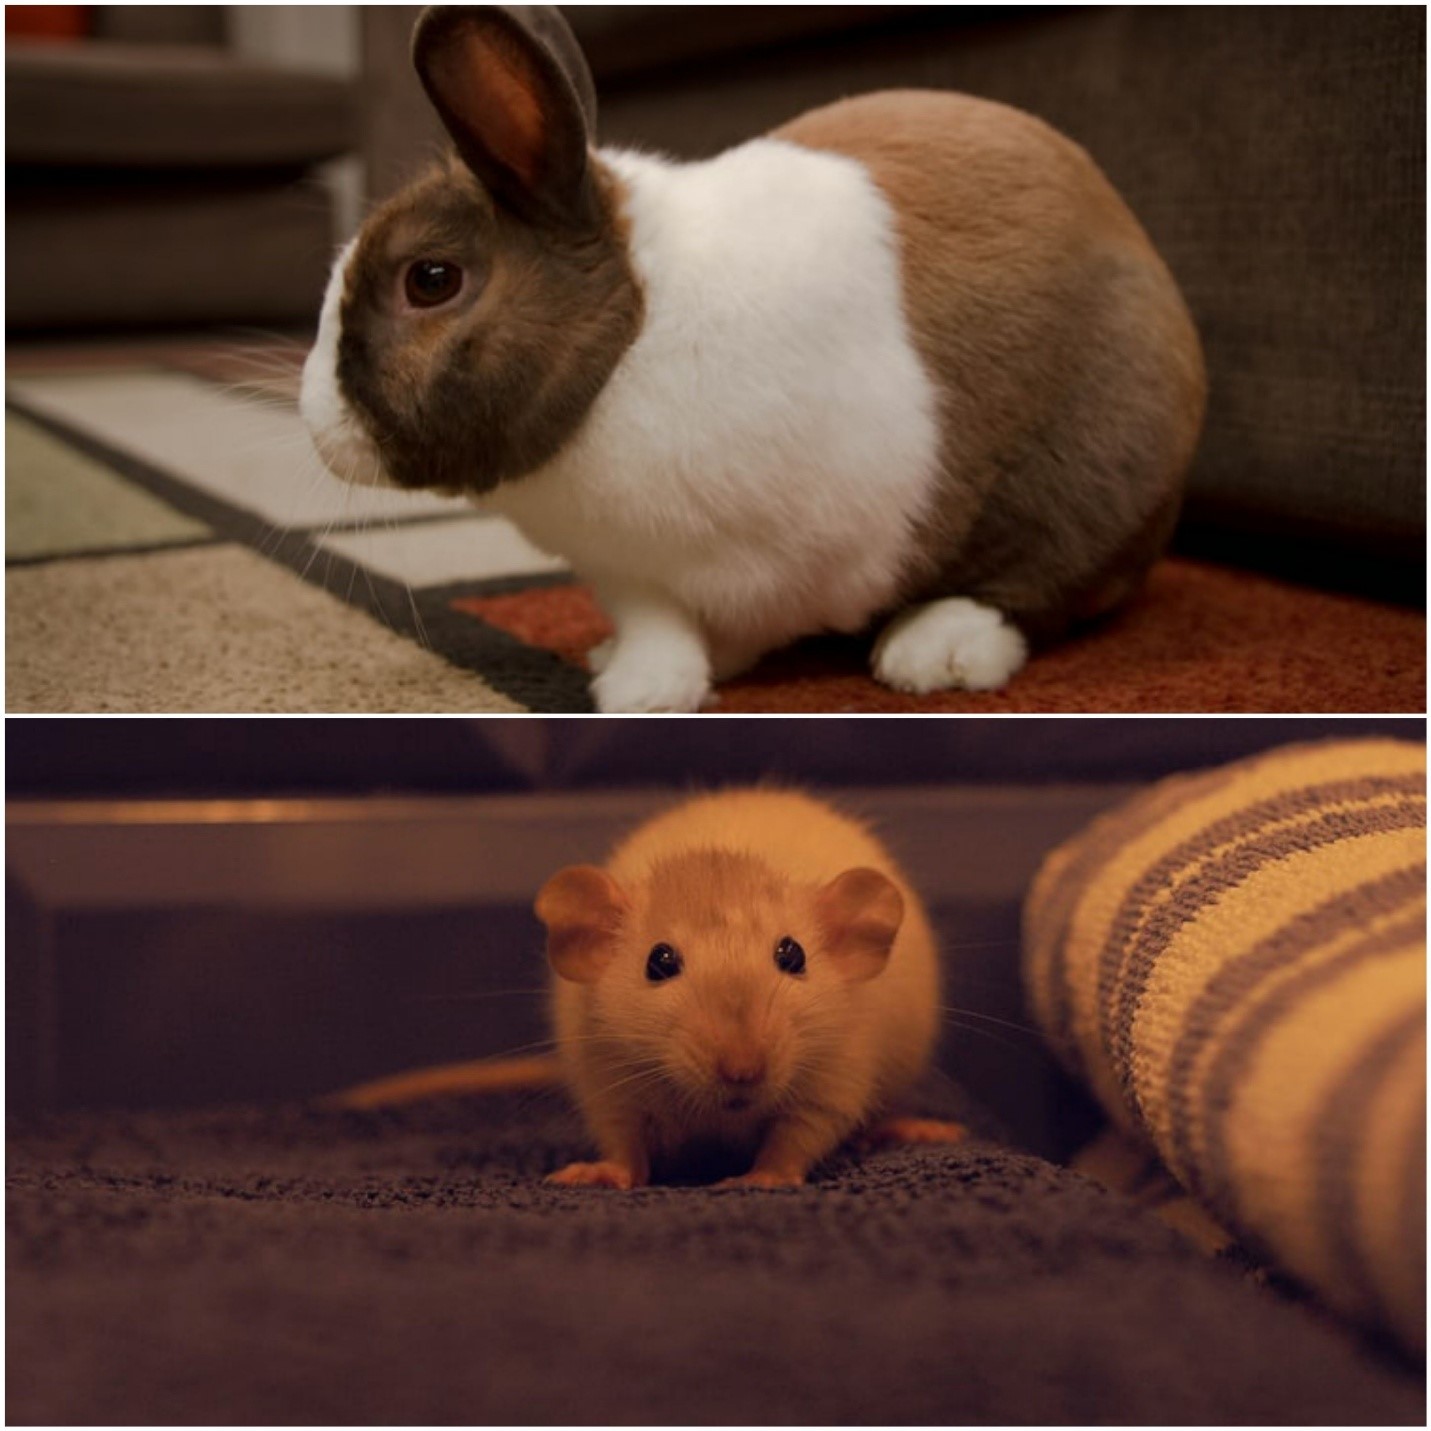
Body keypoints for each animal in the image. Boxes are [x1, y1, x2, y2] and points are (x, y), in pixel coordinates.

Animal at [300, 5, 1206, 713]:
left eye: (430, 280)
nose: (315, 424)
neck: (631, 337)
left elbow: (681, 631)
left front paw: (637, 694)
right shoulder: (635, 571)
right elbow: (658, 620)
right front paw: (627, 668)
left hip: (1093, 475)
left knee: (1044, 589)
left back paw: (933, 650)